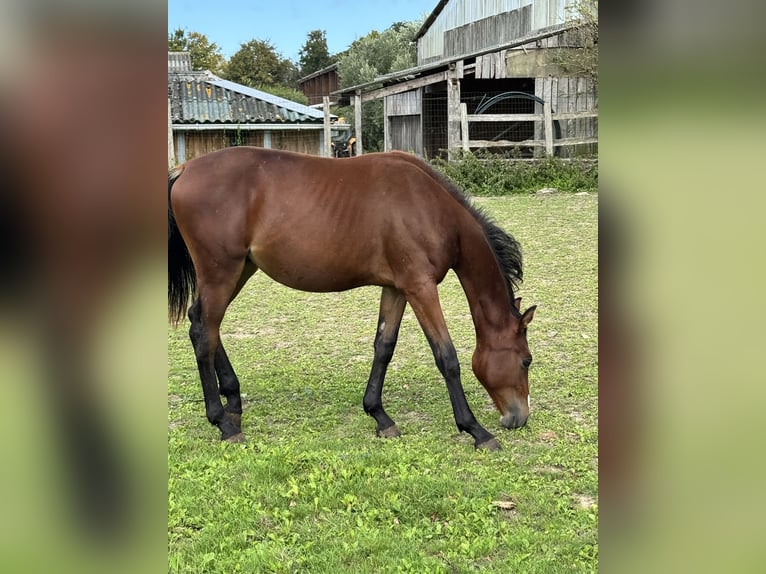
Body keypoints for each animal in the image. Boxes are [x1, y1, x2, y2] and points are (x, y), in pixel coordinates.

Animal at [168, 146, 536, 450]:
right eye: (526, 361)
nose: (518, 418)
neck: (430, 207)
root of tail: (184, 169)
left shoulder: (398, 288)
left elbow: (384, 347)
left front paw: (380, 416)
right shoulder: (421, 287)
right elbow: (446, 357)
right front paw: (476, 431)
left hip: (239, 270)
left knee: (203, 323)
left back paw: (233, 404)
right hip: (221, 273)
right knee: (204, 334)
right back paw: (223, 423)